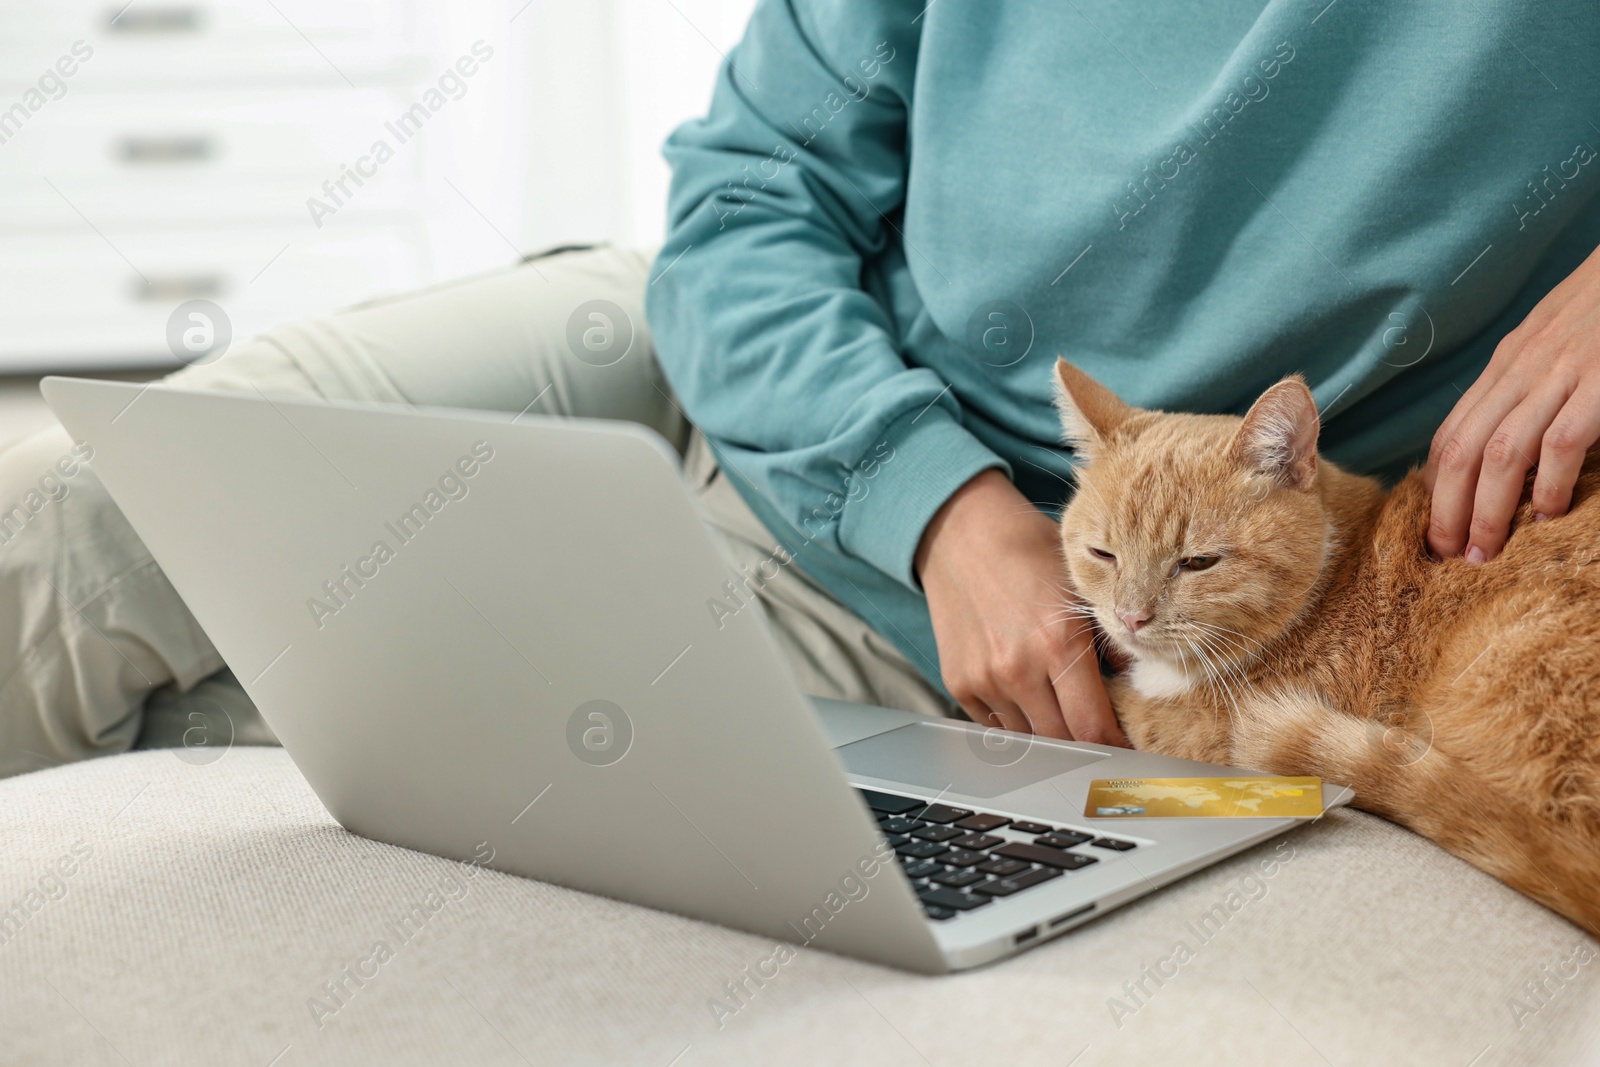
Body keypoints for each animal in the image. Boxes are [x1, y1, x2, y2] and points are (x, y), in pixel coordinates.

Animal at [1049, 356, 1600, 934]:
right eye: (1103, 554)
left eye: (1199, 563)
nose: (1130, 617)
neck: (1332, 576)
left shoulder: (1208, 732)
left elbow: (1139, 715)